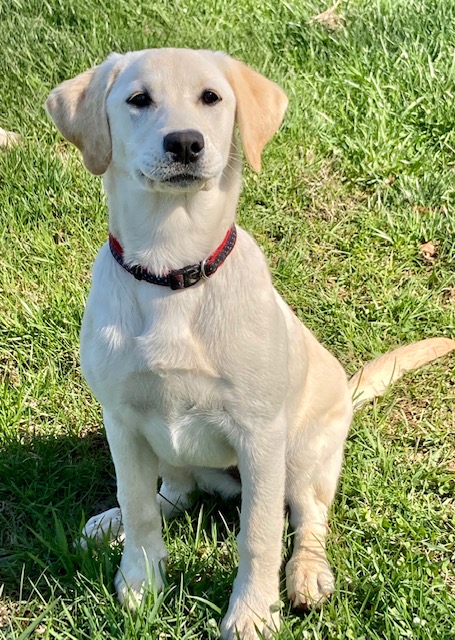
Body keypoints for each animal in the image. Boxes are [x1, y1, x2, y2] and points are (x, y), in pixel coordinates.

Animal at [47, 47, 455, 636]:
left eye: (211, 97)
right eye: (138, 99)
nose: (186, 143)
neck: (172, 270)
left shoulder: (260, 436)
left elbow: (258, 535)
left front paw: (253, 612)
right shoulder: (121, 421)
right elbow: (141, 504)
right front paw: (140, 583)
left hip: (305, 455)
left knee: (308, 518)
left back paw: (307, 574)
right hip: (166, 450)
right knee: (172, 495)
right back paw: (110, 521)